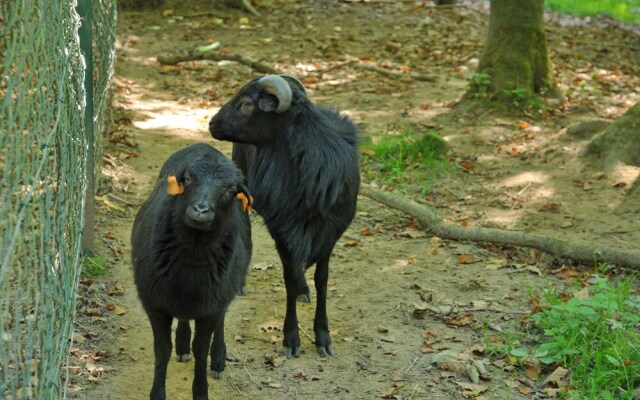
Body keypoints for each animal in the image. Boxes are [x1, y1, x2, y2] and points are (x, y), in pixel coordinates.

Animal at [132, 142, 252, 398]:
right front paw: (157, 392)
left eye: (231, 190)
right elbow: (162, 350)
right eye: (187, 178)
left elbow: (201, 349)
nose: (200, 209)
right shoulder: (155, 304)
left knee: (220, 320)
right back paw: (182, 343)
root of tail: (203, 145)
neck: (192, 258)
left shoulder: (211, 306)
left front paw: (201, 390)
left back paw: (217, 358)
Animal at [209, 75, 360, 360]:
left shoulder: (329, 234)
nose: (212, 123)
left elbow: (322, 280)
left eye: (247, 103)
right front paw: (291, 338)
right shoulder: (281, 230)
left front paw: (323, 337)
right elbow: (288, 279)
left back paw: (303, 290)